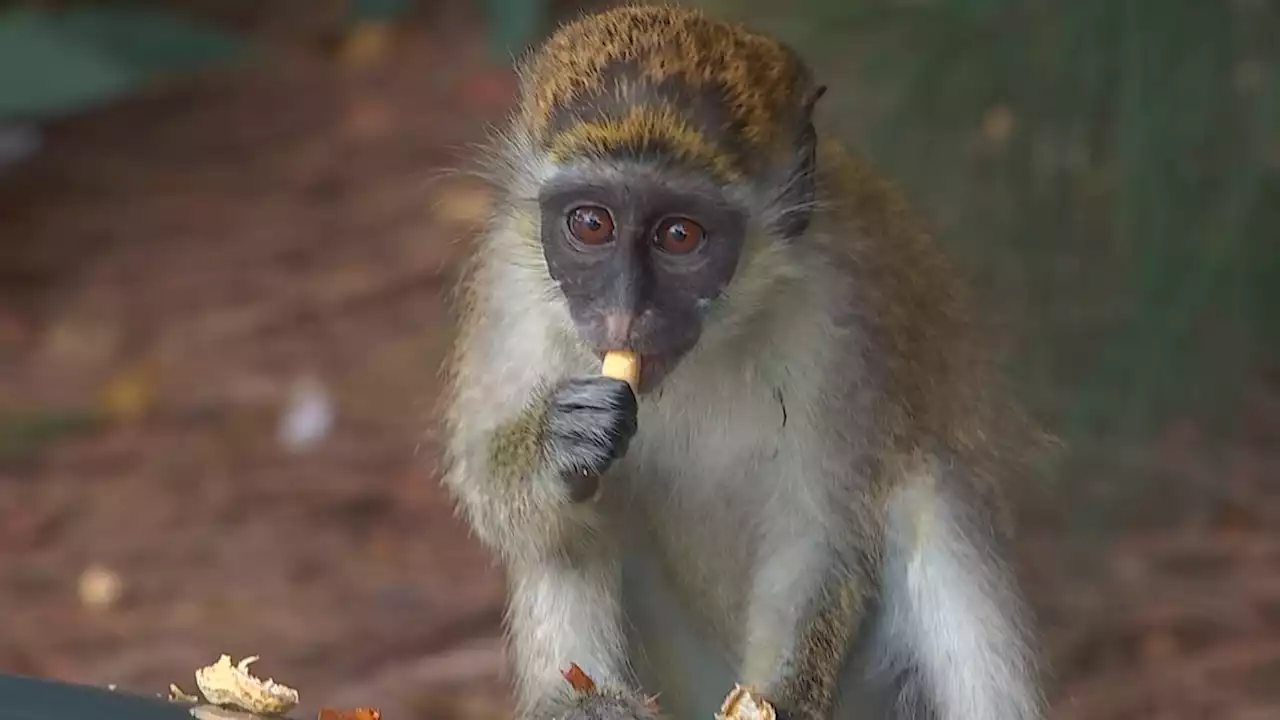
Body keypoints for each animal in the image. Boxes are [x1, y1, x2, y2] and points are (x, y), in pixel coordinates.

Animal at [440, 5, 1049, 717]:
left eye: (680, 235)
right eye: (591, 225)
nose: (623, 316)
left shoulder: (848, 301)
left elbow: (819, 534)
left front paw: (779, 702)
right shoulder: (508, 284)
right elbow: (486, 485)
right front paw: (555, 444)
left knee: (930, 491)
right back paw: (586, 701)